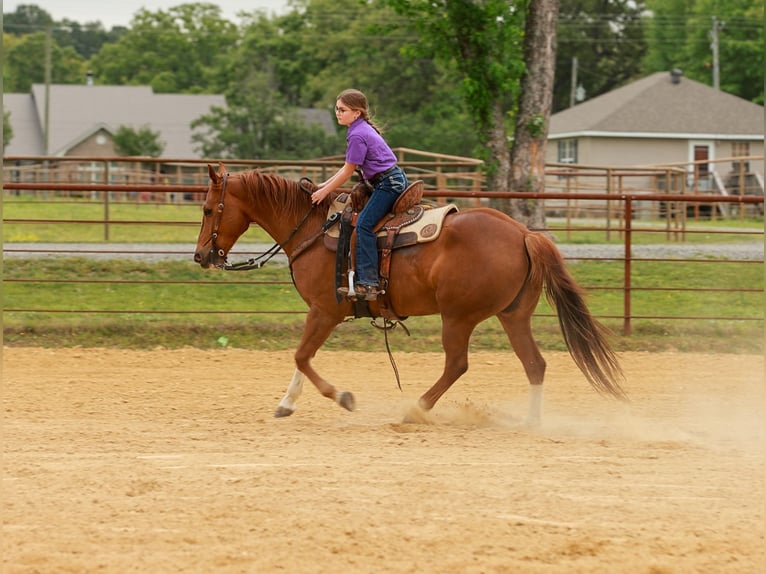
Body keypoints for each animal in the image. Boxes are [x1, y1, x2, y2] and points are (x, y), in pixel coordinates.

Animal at [194, 163, 627, 424]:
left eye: (207, 209)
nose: (201, 256)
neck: (313, 229)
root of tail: (524, 234)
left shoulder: (325, 310)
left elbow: (302, 355)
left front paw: (343, 397)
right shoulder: (320, 313)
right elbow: (302, 357)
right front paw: (286, 404)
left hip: (458, 317)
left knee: (457, 365)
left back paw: (415, 409)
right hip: (513, 315)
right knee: (534, 364)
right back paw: (532, 423)